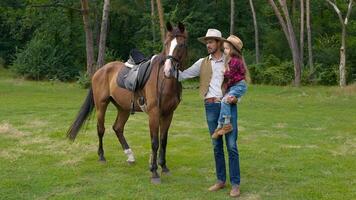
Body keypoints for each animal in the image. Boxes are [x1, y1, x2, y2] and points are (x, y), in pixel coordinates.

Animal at [67, 21, 189, 183]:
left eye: (181, 45)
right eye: (166, 43)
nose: (168, 70)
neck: (164, 82)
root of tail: (100, 70)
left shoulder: (168, 114)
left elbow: (163, 140)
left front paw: (164, 167)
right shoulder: (154, 113)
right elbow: (155, 142)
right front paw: (154, 172)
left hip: (123, 108)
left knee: (117, 128)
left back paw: (130, 156)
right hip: (101, 105)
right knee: (101, 129)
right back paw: (101, 156)